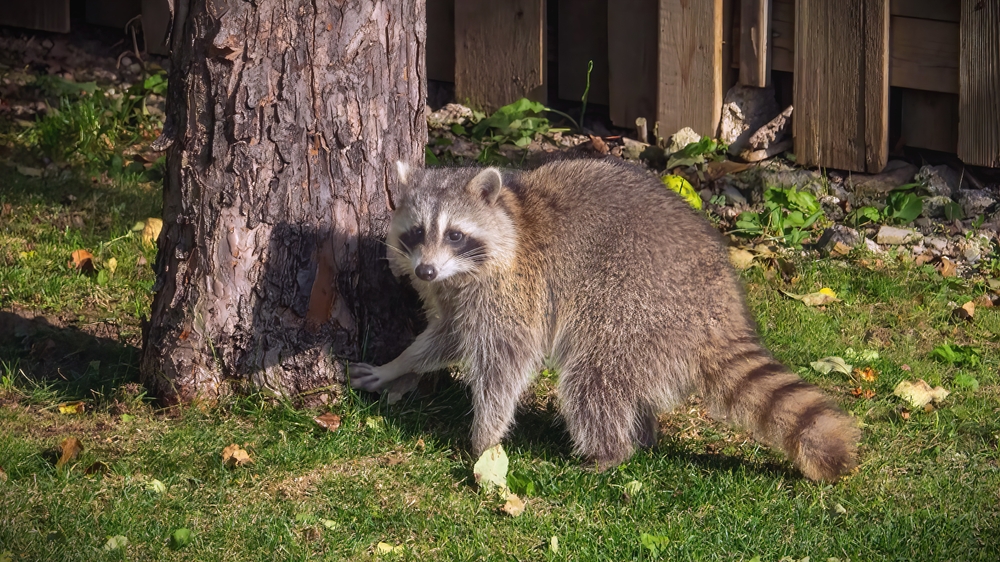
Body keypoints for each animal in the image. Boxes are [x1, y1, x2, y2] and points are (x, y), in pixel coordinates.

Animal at [350, 158, 859, 481]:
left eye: (455, 235)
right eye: (417, 232)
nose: (424, 271)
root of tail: (721, 308)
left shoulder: (516, 292)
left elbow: (505, 364)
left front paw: (485, 439)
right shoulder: (457, 294)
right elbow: (447, 337)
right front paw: (398, 364)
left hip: (638, 305)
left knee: (593, 378)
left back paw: (609, 453)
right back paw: (642, 433)